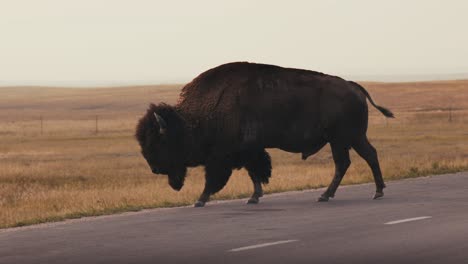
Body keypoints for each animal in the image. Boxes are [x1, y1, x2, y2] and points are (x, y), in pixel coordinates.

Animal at [136, 61, 394, 206]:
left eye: (159, 142)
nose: (154, 168)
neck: (192, 120)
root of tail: (353, 86)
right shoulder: (250, 151)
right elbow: (255, 173)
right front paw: (254, 197)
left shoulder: (223, 156)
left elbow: (216, 179)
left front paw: (200, 200)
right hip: (350, 138)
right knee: (366, 156)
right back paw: (374, 192)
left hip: (342, 139)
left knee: (346, 162)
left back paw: (331, 195)